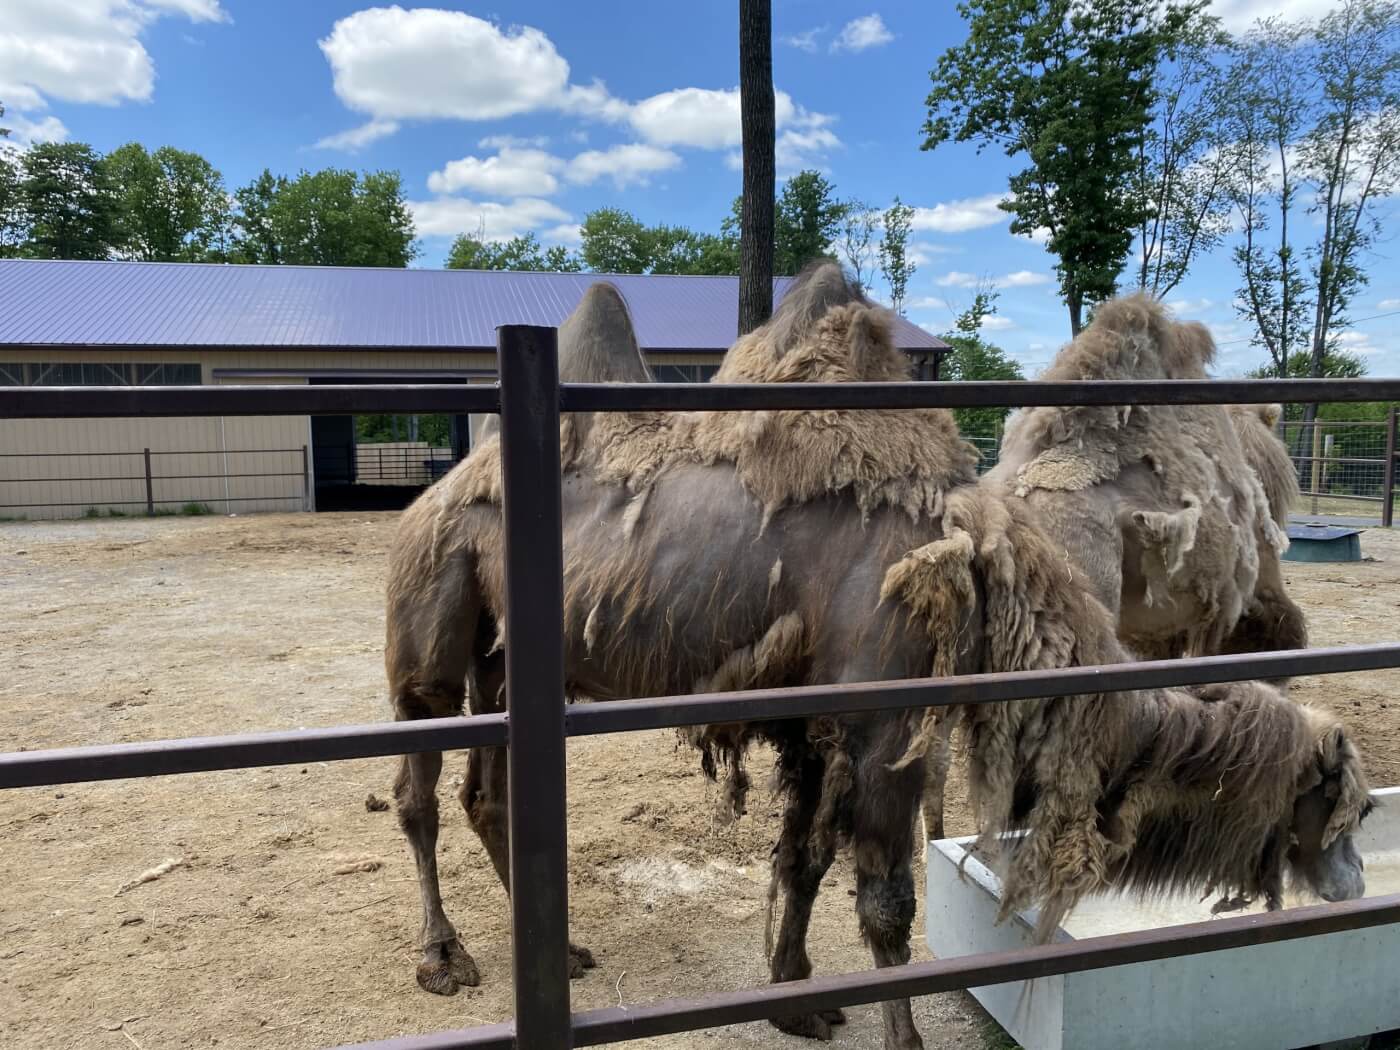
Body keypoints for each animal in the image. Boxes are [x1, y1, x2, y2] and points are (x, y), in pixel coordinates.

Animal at [383, 264, 1366, 1050]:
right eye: (1343, 809)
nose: (1355, 886)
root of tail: (435, 488)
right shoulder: (882, 718)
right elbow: (887, 898)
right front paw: (892, 1034)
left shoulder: (810, 721)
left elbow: (802, 857)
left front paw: (795, 999)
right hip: (433, 612)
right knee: (418, 786)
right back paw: (444, 957)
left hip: (507, 660)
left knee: (487, 791)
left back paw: (566, 950)